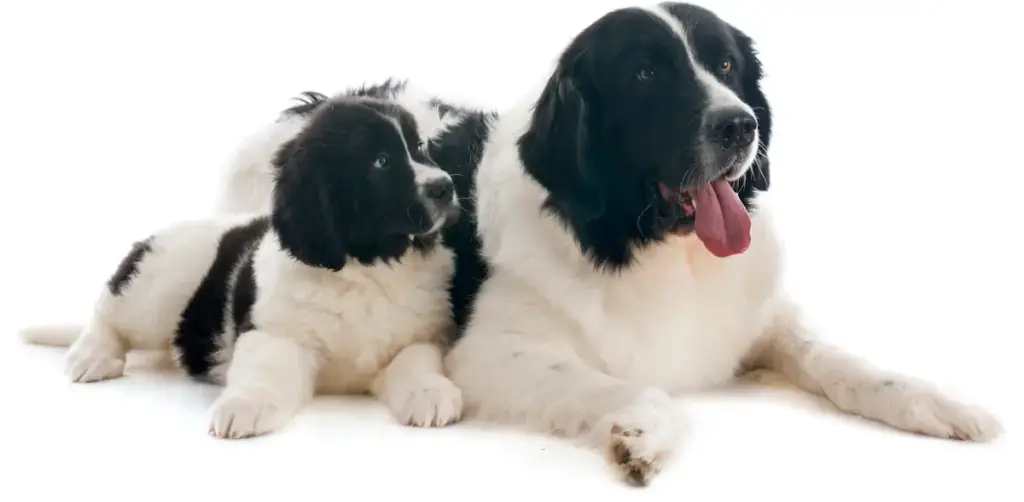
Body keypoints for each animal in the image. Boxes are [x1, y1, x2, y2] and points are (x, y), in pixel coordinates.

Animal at [19, 96, 464, 436]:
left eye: (420, 148)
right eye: (381, 162)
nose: (446, 187)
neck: (368, 268)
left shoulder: (418, 336)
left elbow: (416, 360)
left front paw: (431, 393)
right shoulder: (275, 332)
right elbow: (265, 368)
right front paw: (244, 407)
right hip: (158, 284)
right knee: (109, 309)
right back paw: (91, 355)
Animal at [207, 1, 999, 483]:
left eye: (727, 66)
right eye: (646, 74)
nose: (740, 124)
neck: (652, 246)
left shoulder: (762, 317)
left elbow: (847, 363)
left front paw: (941, 403)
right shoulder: (490, 352)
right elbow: (634, 385)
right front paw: (643, 436)